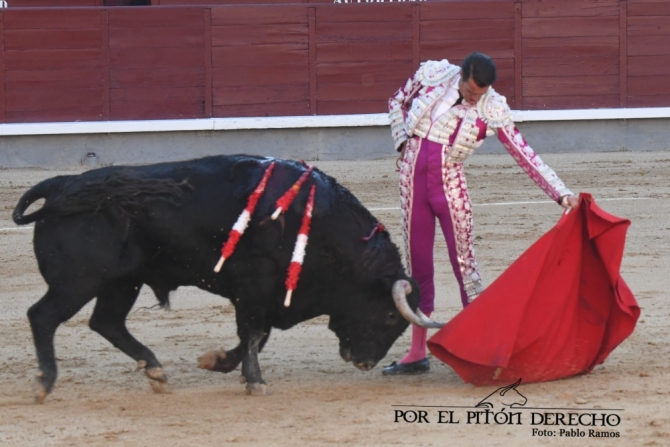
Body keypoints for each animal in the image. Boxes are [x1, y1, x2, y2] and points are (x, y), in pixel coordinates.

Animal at [13, 156, 428, 400]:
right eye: (389, 316)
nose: (366, 363)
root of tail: (61, 185)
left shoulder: (264, 295)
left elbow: (255, 336)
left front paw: (220, 363)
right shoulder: (254, 287)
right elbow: (255, 333)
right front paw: (255, 381)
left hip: (121, 282)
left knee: (107, 322)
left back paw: (155, 370)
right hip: (78, 281)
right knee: (43, 316)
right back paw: (44, 381)